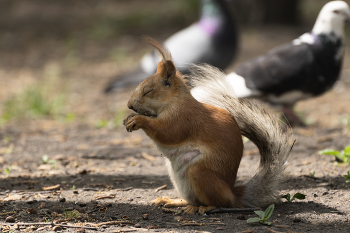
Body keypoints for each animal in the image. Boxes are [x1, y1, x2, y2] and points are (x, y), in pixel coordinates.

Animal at [123, 36, 296, 215]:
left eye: (148, 91)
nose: (129, 105)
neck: (175, 101)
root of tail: (232, 193)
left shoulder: (183, 119)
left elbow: (168, 132)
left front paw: (138, 120)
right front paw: (129, 117)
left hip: (200, 174)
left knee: (219, 203)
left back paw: (204, 208)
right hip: (179, 179)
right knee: (193, 200)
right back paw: (173, 201)